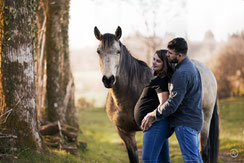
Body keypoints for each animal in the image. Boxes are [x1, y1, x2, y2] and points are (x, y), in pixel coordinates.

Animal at [93, 26, 219, 162]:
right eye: (98, 51)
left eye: (117, 51)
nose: (108, 79)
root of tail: (208, 72)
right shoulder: (125, 133)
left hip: (205, 120)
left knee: (204, 151)